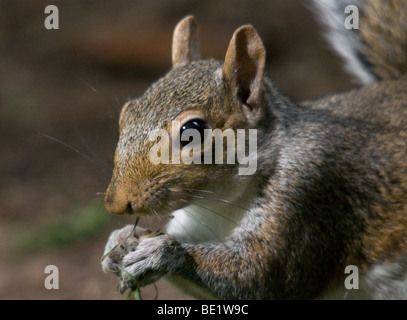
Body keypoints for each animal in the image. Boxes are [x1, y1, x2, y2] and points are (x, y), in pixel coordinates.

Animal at [101, 0, 407, 300]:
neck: (220, 203)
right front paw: (120, 241)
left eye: (193, 130)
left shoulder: (306, 198)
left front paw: (162, 253)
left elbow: (262, 276)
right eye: (126, 113)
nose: (115, 204)